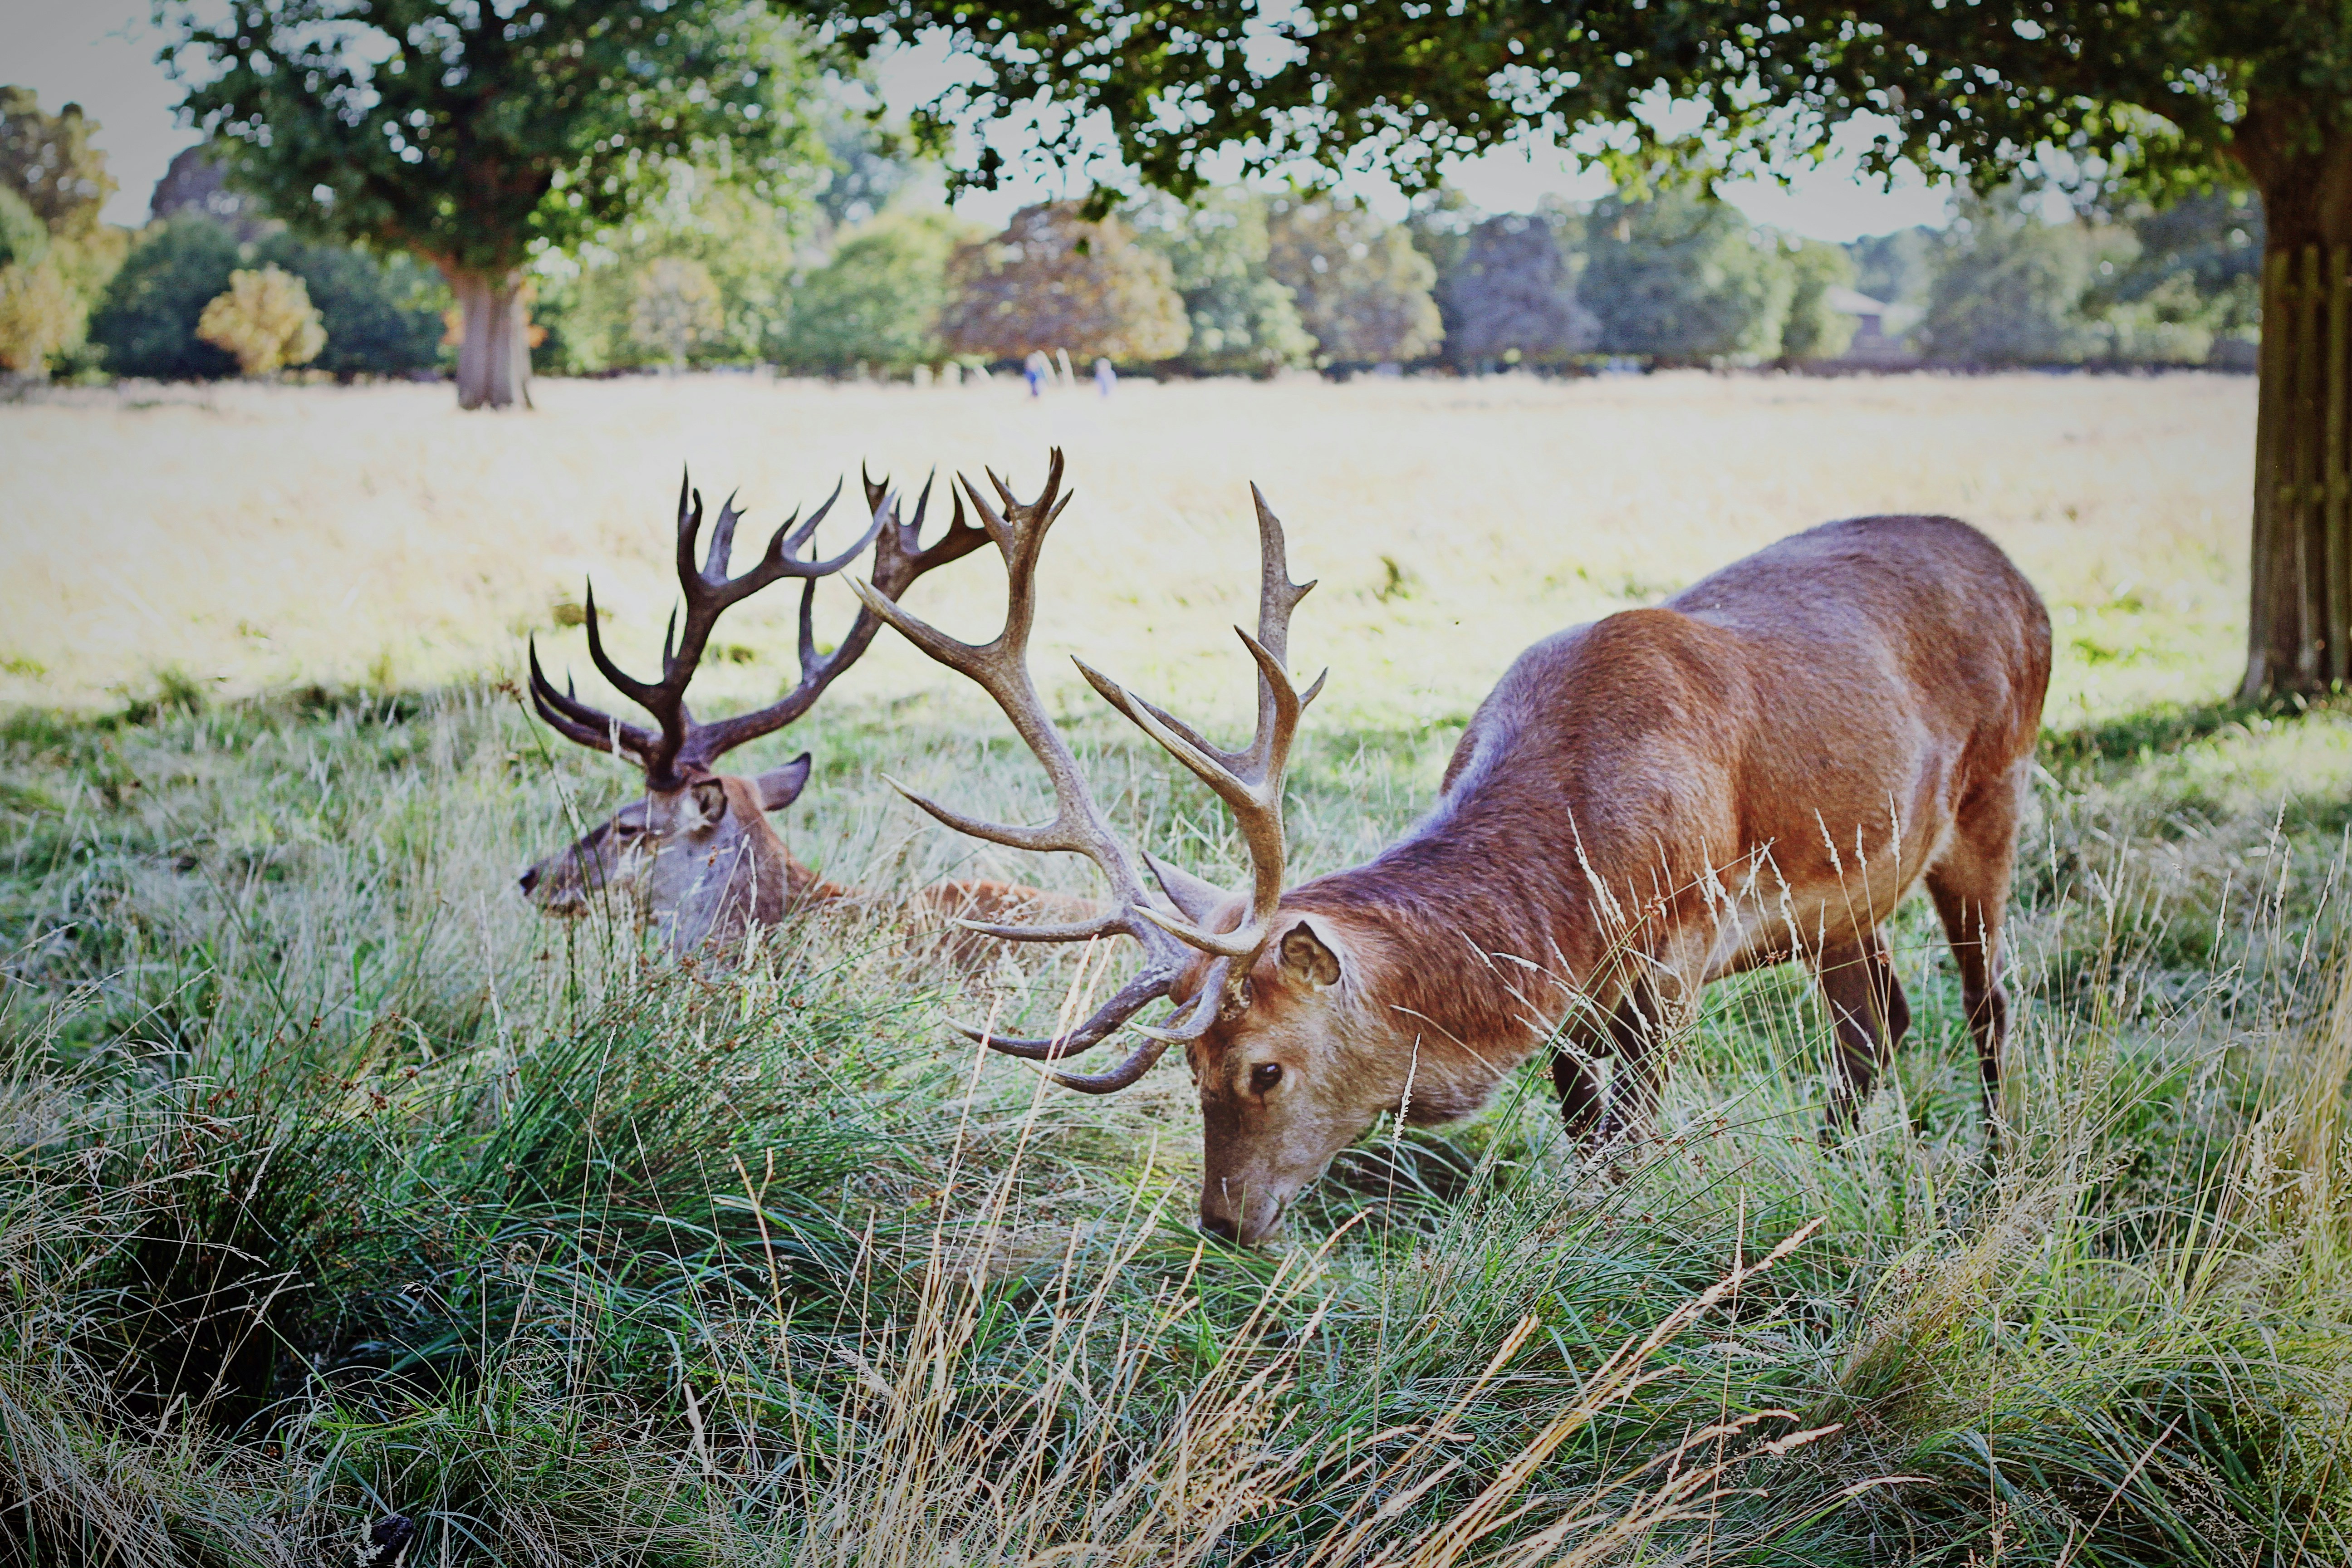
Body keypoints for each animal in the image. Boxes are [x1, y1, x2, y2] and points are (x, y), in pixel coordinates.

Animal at [851, 451, 2052, 1244]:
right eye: (1186, 1066)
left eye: (1263, 1066)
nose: (1224, 1222)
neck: (1572, 874)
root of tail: (2018, 572)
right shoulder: (1575, 994)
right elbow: (1581, 1121)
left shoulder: (1678, 945)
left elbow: (1628, 1137)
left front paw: (1605, 1232)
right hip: (1846, 897)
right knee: (1877, 1019)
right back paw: (1838, 1170)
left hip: (1995, 794)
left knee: (1989, 1005)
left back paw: (1997, 1181)